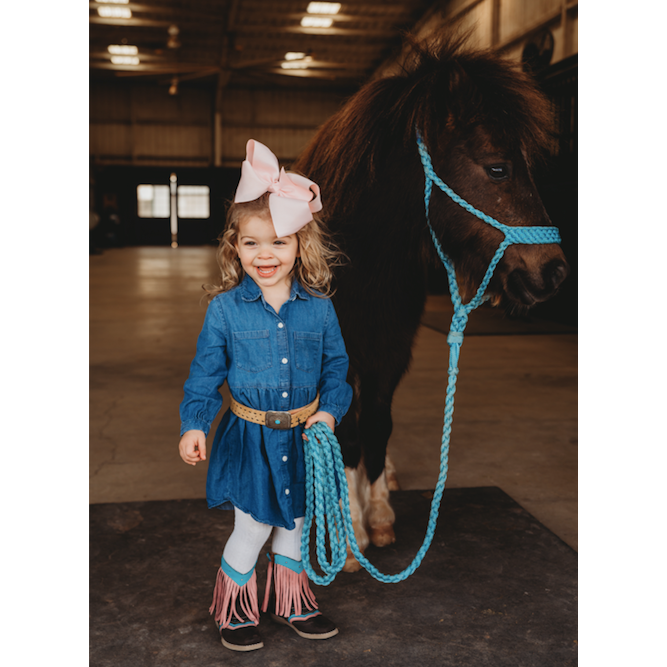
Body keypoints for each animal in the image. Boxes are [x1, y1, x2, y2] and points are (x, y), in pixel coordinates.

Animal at [294, 34, 568, 572]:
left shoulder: (390, 349)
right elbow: (349, 429)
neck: (362, 262)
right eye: (498, 167)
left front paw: (378, 512)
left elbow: (378, 423)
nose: (553, 271)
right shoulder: (346, 353)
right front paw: (350, 533)